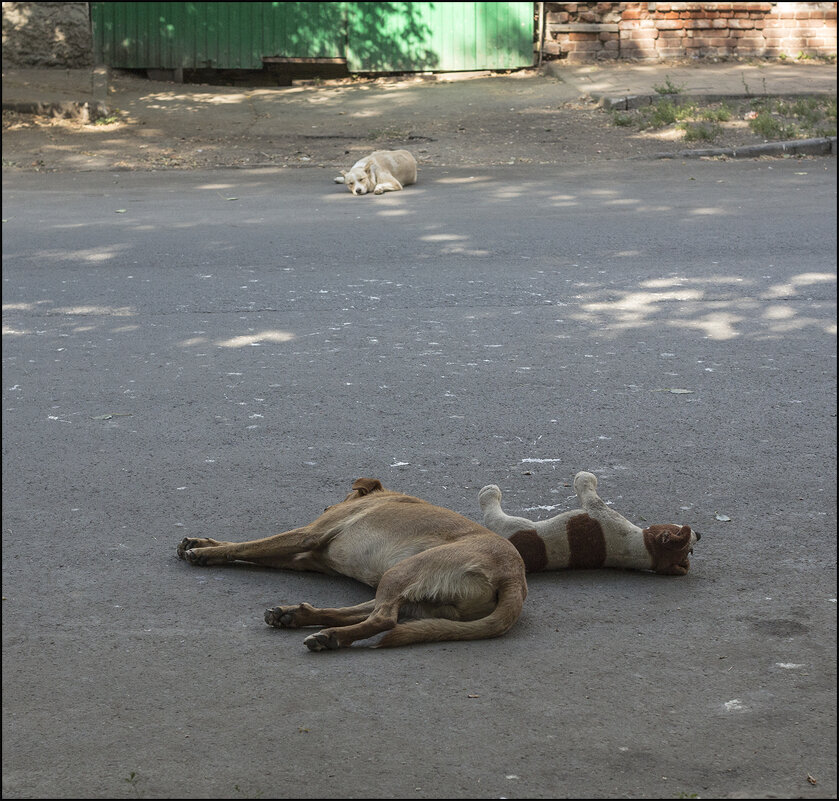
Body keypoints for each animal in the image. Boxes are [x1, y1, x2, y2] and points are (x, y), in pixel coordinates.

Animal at [480, 468, 704, 576]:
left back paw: (489, 492)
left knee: (492, 513)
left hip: (514, 527)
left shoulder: (599, 511)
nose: (700, 534)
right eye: (691, 550)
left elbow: (589, 493)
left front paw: (584, 478)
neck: (641, 546)